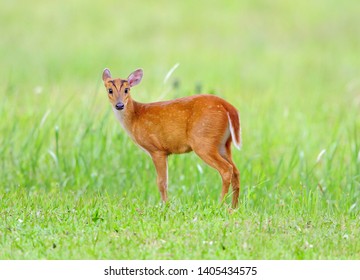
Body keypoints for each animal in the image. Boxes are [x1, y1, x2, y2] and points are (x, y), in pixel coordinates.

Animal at [101, 68, 242, 208]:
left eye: (127, 89)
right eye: (110, 90)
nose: (119, 105)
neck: (135, 118)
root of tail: (228, 107)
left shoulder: (156, 149)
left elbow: (161, 182)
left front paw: (165, 205)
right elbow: (165, 181)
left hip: (203, 141)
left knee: (226, 169)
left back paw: (220, 204)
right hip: (223, 144)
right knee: (236, 171)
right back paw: (233, 207)